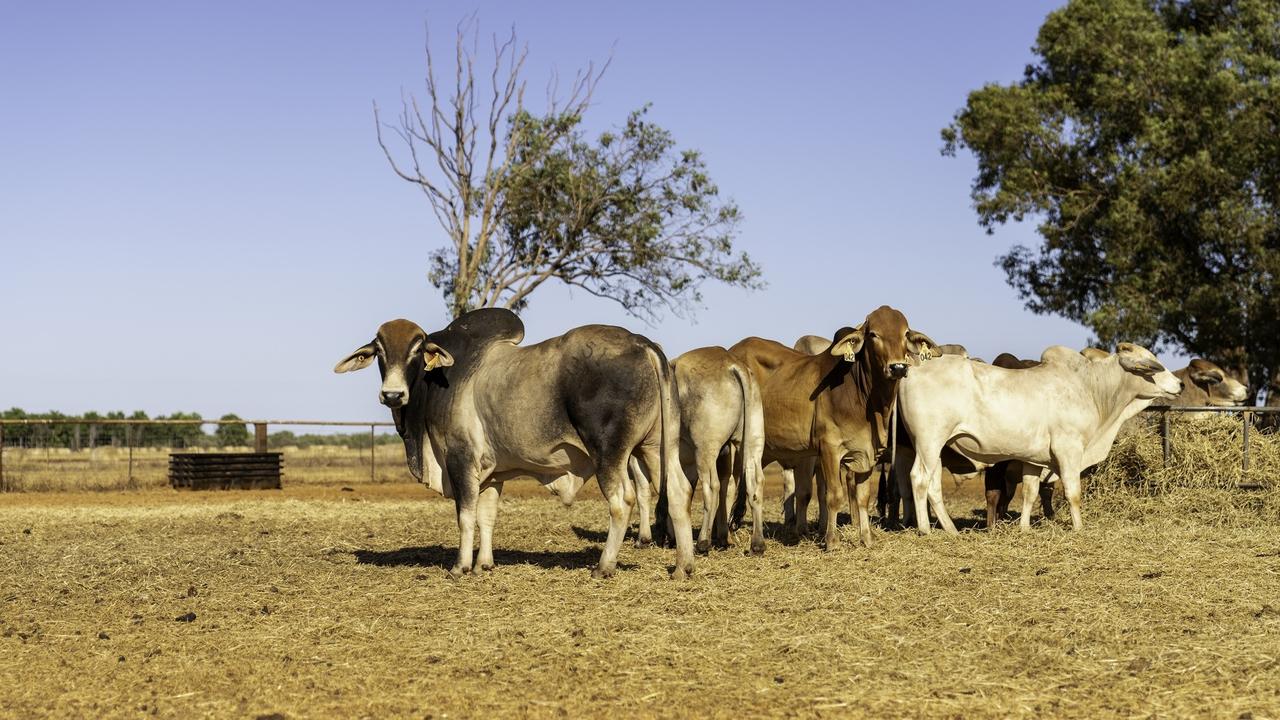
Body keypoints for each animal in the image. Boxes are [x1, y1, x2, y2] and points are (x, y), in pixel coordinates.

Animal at [330, 308, 691, 576]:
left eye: (417, 349)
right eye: (379, 350)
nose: (392, 394)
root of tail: (641, 343)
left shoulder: (460, 460)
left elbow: (466, 515)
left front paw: (461, 566)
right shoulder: (494, 473)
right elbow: (487, 515)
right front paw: (484, 564)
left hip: (609, 452)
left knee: (623, 500)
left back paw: (604, 566)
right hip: (657, 447)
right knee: (679, 490)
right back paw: (683, 566)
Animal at [737, 304, 936, 545]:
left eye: (905, 334)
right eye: (873, 334)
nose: (898, 367)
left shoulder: (867, 453)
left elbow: (862, 497)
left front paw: (866, 539)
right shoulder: (829, 449)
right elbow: (832, 495)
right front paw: (831, 540)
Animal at [901, 340, 1177, 532]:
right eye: (1152, 364)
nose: (1180, 384)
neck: (1089, 387)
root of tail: (913, 371)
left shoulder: (1033, 459)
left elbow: (1030, 492)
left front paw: (1024, 528)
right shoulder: (1069, 450)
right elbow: (1073, 493)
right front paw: (1079, 528)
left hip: (932, 447)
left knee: (933, 485)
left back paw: (950, 529)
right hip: (930, 441)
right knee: (919, 479)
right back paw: (926, 529)